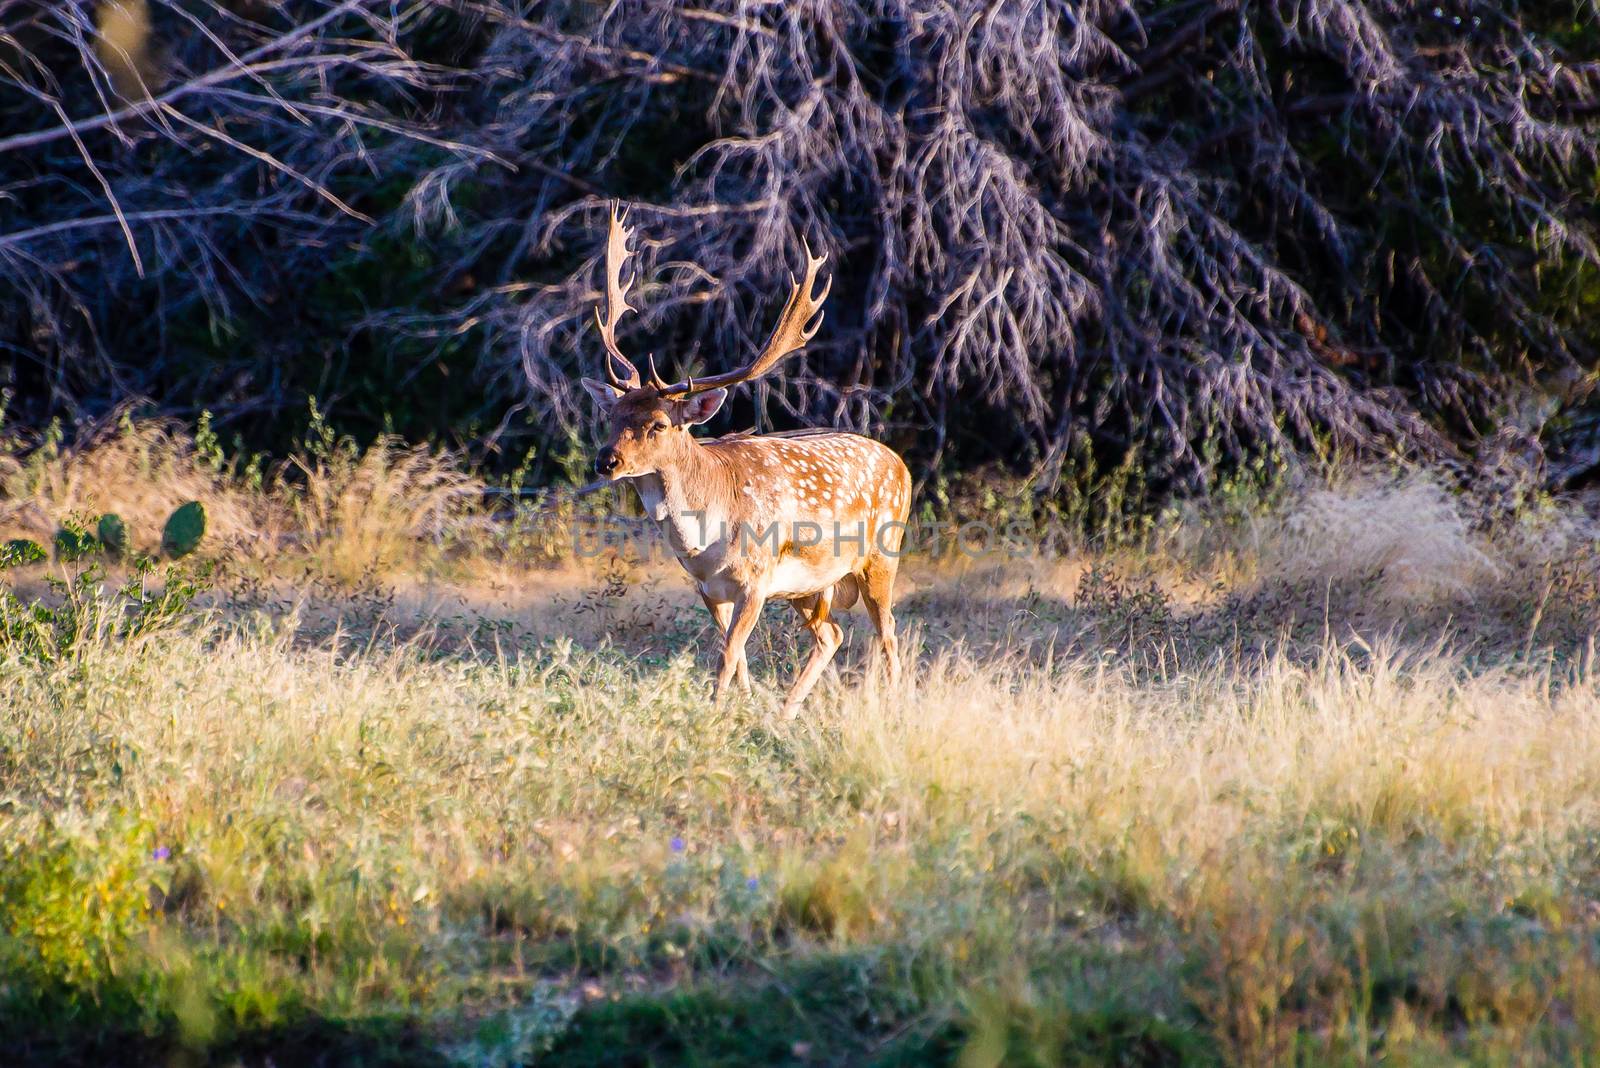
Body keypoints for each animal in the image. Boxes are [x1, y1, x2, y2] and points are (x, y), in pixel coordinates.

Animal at [582, 204, 915, 713]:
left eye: (658, 424)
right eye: (612, 416)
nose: (606, 461)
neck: (705, 539)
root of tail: (902, 464)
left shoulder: (756, 581)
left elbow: (727, 655)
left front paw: (716, 714)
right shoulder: (708, 589)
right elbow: (734, 657)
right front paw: (741, 705)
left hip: (882, 553)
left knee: (888, 630)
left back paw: (891, 703)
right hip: (809, 585)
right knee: (831, 634)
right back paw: (787, 711)